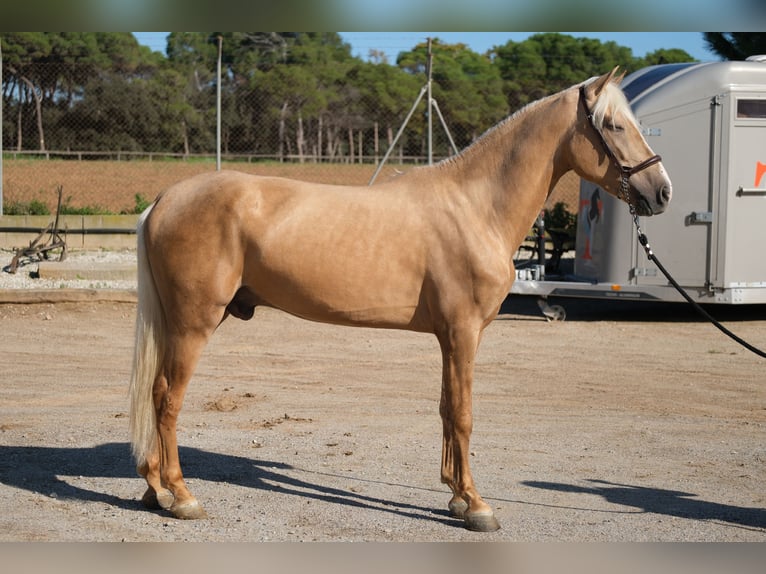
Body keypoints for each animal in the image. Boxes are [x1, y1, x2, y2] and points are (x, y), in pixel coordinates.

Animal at [130, 68, 672, 536]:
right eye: (614, 124)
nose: (662, 191)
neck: (476, 206)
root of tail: (163, 200)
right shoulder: (463, 332)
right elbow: (464, 413)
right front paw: (477, 506)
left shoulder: (450, 337)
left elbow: (446, 408)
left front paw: (455, 496)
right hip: (194, 324)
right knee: (168, 398)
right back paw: (182, 497)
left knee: (156, 393)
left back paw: (155, 489)